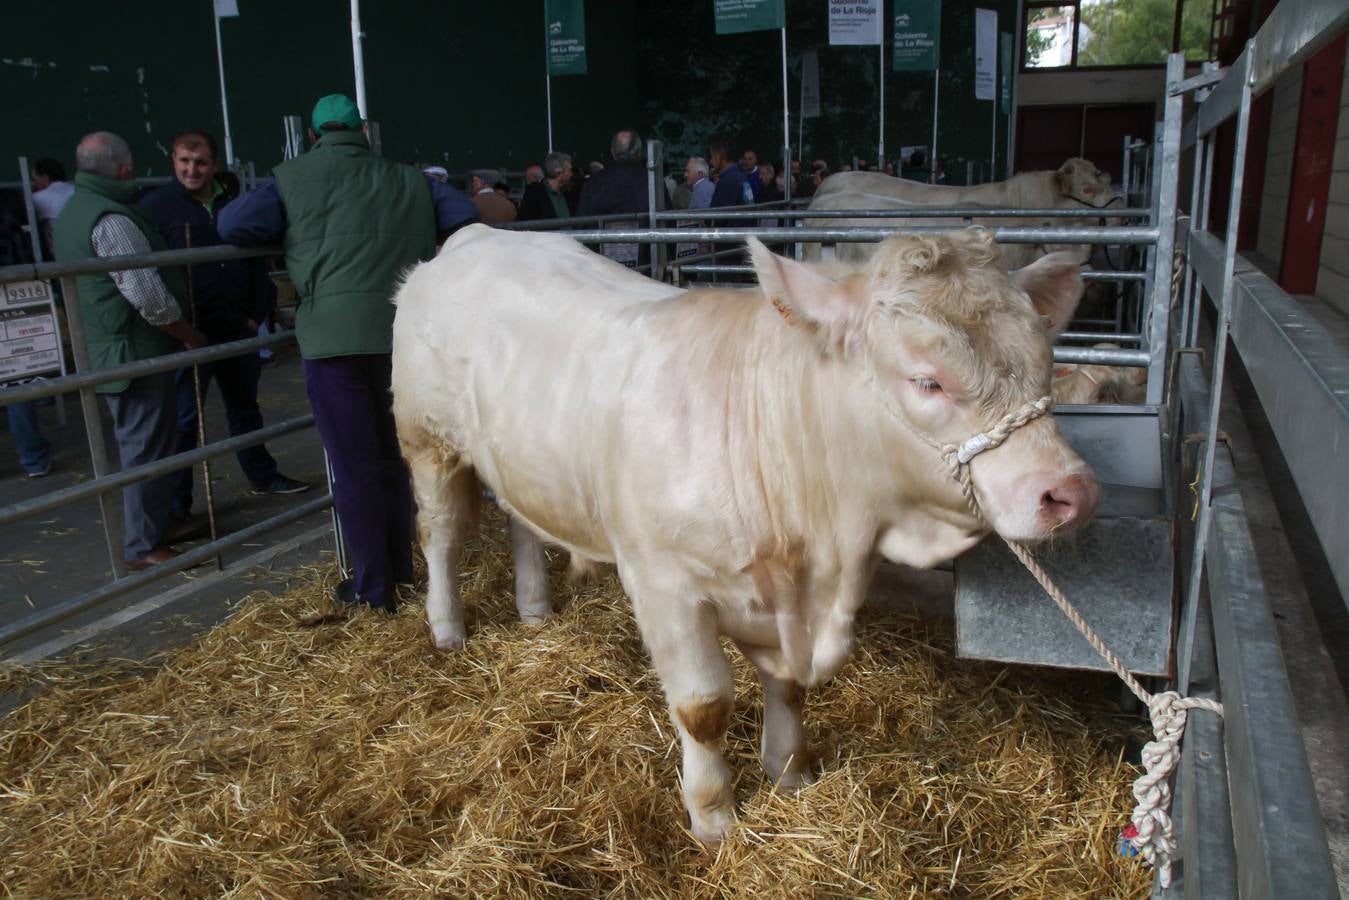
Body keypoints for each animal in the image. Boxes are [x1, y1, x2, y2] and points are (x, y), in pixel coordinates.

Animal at [388, 225, 1095, 847]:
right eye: (927, 380)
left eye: (1045, 365)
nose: (1070, 492)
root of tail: (475, 238)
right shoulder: (664, 584)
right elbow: (703, 709)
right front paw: (715, 821)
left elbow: (787, 688)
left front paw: (790, 772)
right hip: (427, 441)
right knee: (441, 534)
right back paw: (447, 628)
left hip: (521, 457)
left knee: (521, 521)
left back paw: (534, 609)